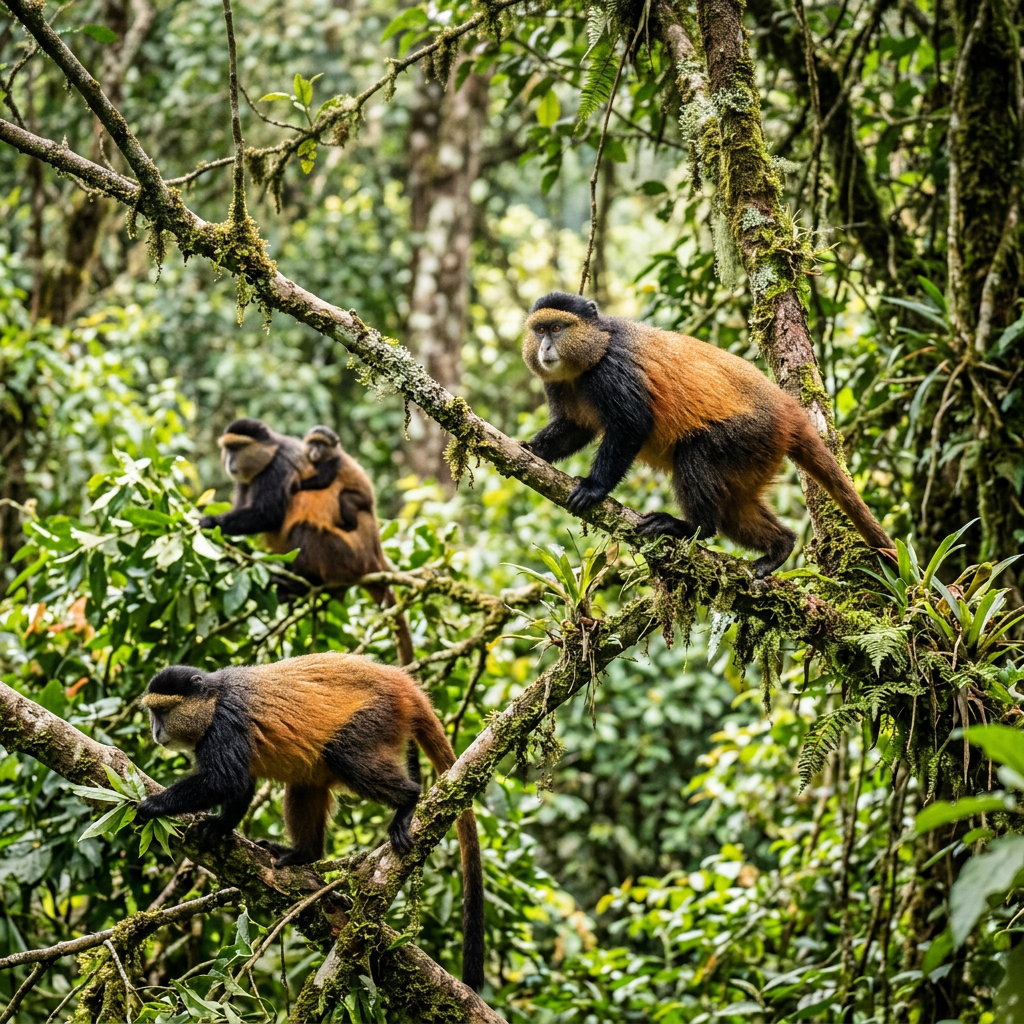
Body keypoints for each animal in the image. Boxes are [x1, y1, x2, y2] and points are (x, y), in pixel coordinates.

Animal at [136, 654, 485, 990]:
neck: (213, 696)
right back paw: (303, 854)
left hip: (378, 717)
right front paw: (221, 826)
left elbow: (227, 780)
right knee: (305, 783)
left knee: (345, 756)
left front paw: (155, 805)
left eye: (163, 712)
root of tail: (399, 680)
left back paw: (408, 802)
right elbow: (240, 786)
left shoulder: (227, 721)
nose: (156, 732)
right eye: (153, 713)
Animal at [265, 427, 416, 665]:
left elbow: (318, 481)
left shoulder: (332, 464)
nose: (314, 452)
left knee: (320, 519)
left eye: (322, 445)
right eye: (312, 444)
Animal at [521, 292, 895, 577]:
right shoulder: (559, 385)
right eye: (539, 330)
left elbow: (631, 426)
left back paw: (689, 527)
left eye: (557, 328)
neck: (591, 354)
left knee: (695, 456)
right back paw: (780, 546)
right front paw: (531, 451)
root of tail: (788, 410)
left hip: (748, 435)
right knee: (734, 512)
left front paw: (593, 488)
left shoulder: (613, 370)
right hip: (758, 456)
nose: (545, 348)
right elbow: (575, 428)